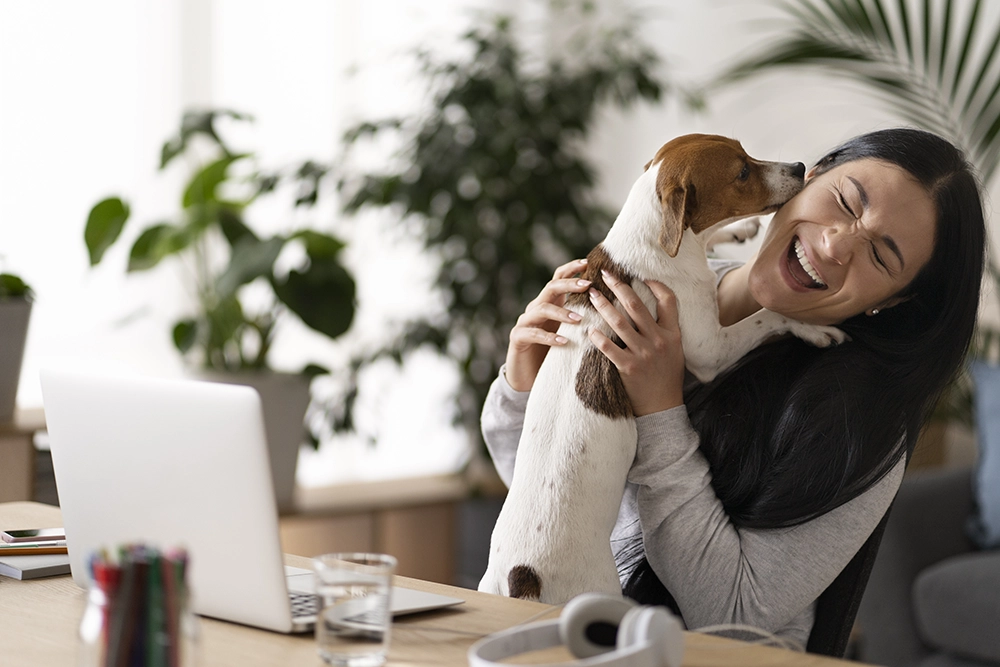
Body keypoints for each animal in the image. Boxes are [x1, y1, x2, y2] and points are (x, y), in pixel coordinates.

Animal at [480, 132, 848, 604]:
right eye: (742, 172)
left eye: (745, 151)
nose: (800, 167)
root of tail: (521, 578)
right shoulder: (709, 349)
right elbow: (768, 314)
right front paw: (813, 328)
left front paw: (737, 230)